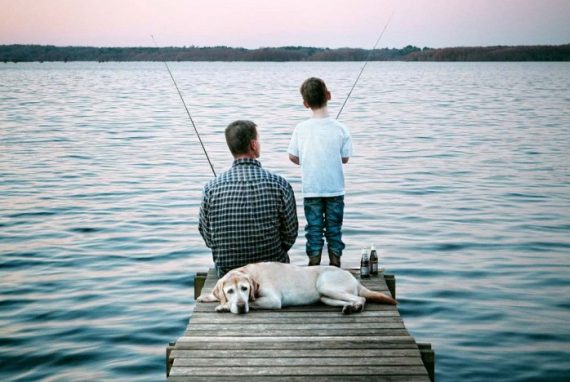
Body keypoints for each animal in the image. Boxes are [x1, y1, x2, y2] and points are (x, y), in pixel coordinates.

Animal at [195, 262, 394, 314]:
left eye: (244, 289)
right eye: (230, 291)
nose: (241, 307)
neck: (252, 273)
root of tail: (354, 278)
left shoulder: (273, 300)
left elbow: (253, 302)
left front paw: (224, 306)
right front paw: (207, 296)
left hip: (325, 284)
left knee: (362, 298)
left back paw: (357, 306)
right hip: (326, 297)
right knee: (347, 300)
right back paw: (349, 308)